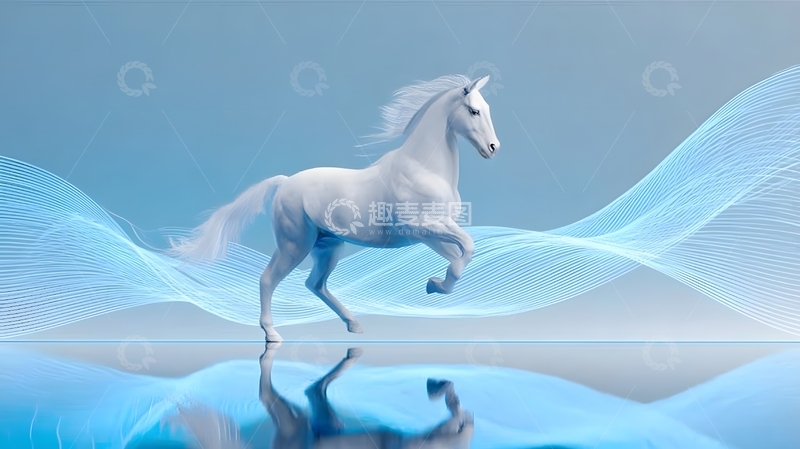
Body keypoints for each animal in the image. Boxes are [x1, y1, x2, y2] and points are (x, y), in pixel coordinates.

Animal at [169, 75, 500, 342]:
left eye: (487, 108)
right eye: (473, 110)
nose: (493, 148)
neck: (423, 168)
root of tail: (285, 183)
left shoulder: (430, 235)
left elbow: (459, 257)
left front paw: (435, 285)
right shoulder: (422, 227)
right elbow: (468, 247)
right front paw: (436, 284)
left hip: (328, 246)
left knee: (314, 284)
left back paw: (354, 324)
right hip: (295, 245)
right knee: (268, 279)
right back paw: (272, 334)